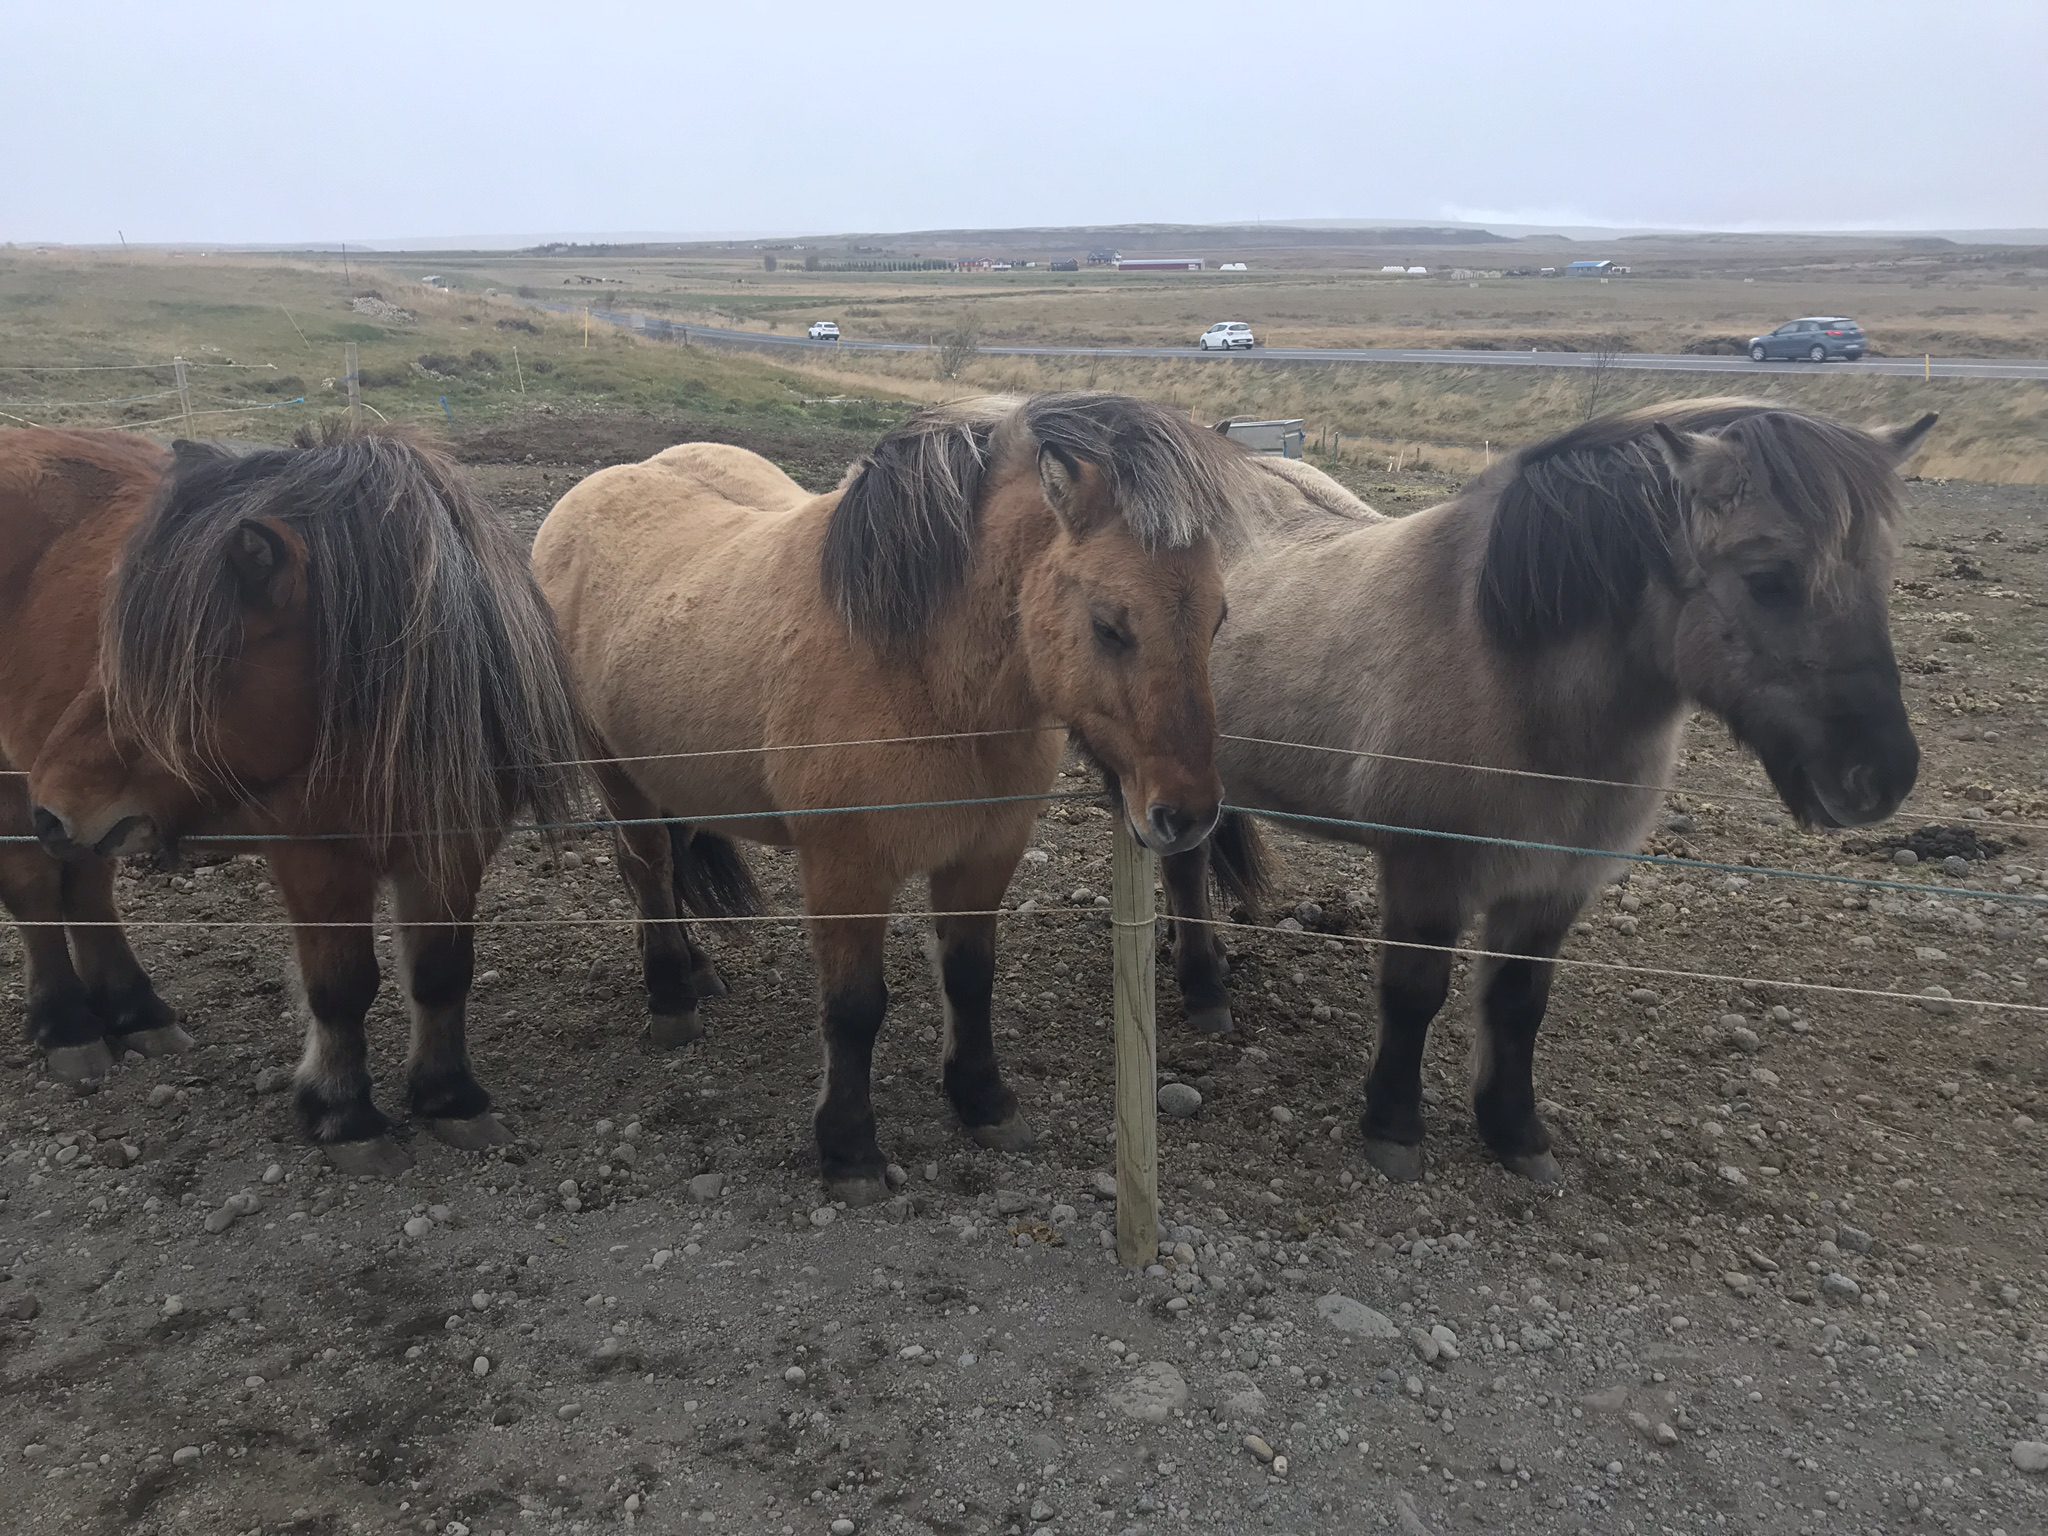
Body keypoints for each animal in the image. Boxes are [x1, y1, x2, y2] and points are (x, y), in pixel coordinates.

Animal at [8, 424, 583, 1173]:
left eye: (185, 668)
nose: (53, 801)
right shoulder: (316, 858)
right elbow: (341, 987)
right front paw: (343, 1113)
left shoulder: (452, 845)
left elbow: (441, 973)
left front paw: (449, 1096)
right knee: (34, 893)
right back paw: (68, 1026)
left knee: (85, 890)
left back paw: (137, 1011)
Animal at [534, 392, 1252, 1202]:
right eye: (1109, 625)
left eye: (1218, 617)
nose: (1186, 815)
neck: (921, 675)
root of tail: (585, 496)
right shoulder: (846, 872)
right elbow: (853, 1009)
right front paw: (849, 1150)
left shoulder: (984, 854)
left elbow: (970, 980)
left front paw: (983, 1101)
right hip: (618, 773)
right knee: (649, 870)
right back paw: (670, 998)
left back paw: (696, 970)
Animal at [1163, 400, 1935, 1184]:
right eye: (1768, 578)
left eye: (1881, 575)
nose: (1881, 776)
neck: (1508, 673)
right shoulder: (1425, 869)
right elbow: (1414, 993)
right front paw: (1394, 1125)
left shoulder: (1555, 883)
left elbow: (1517, 1003)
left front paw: (1514, 1130)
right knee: (1184, 873)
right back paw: (1204, 990)